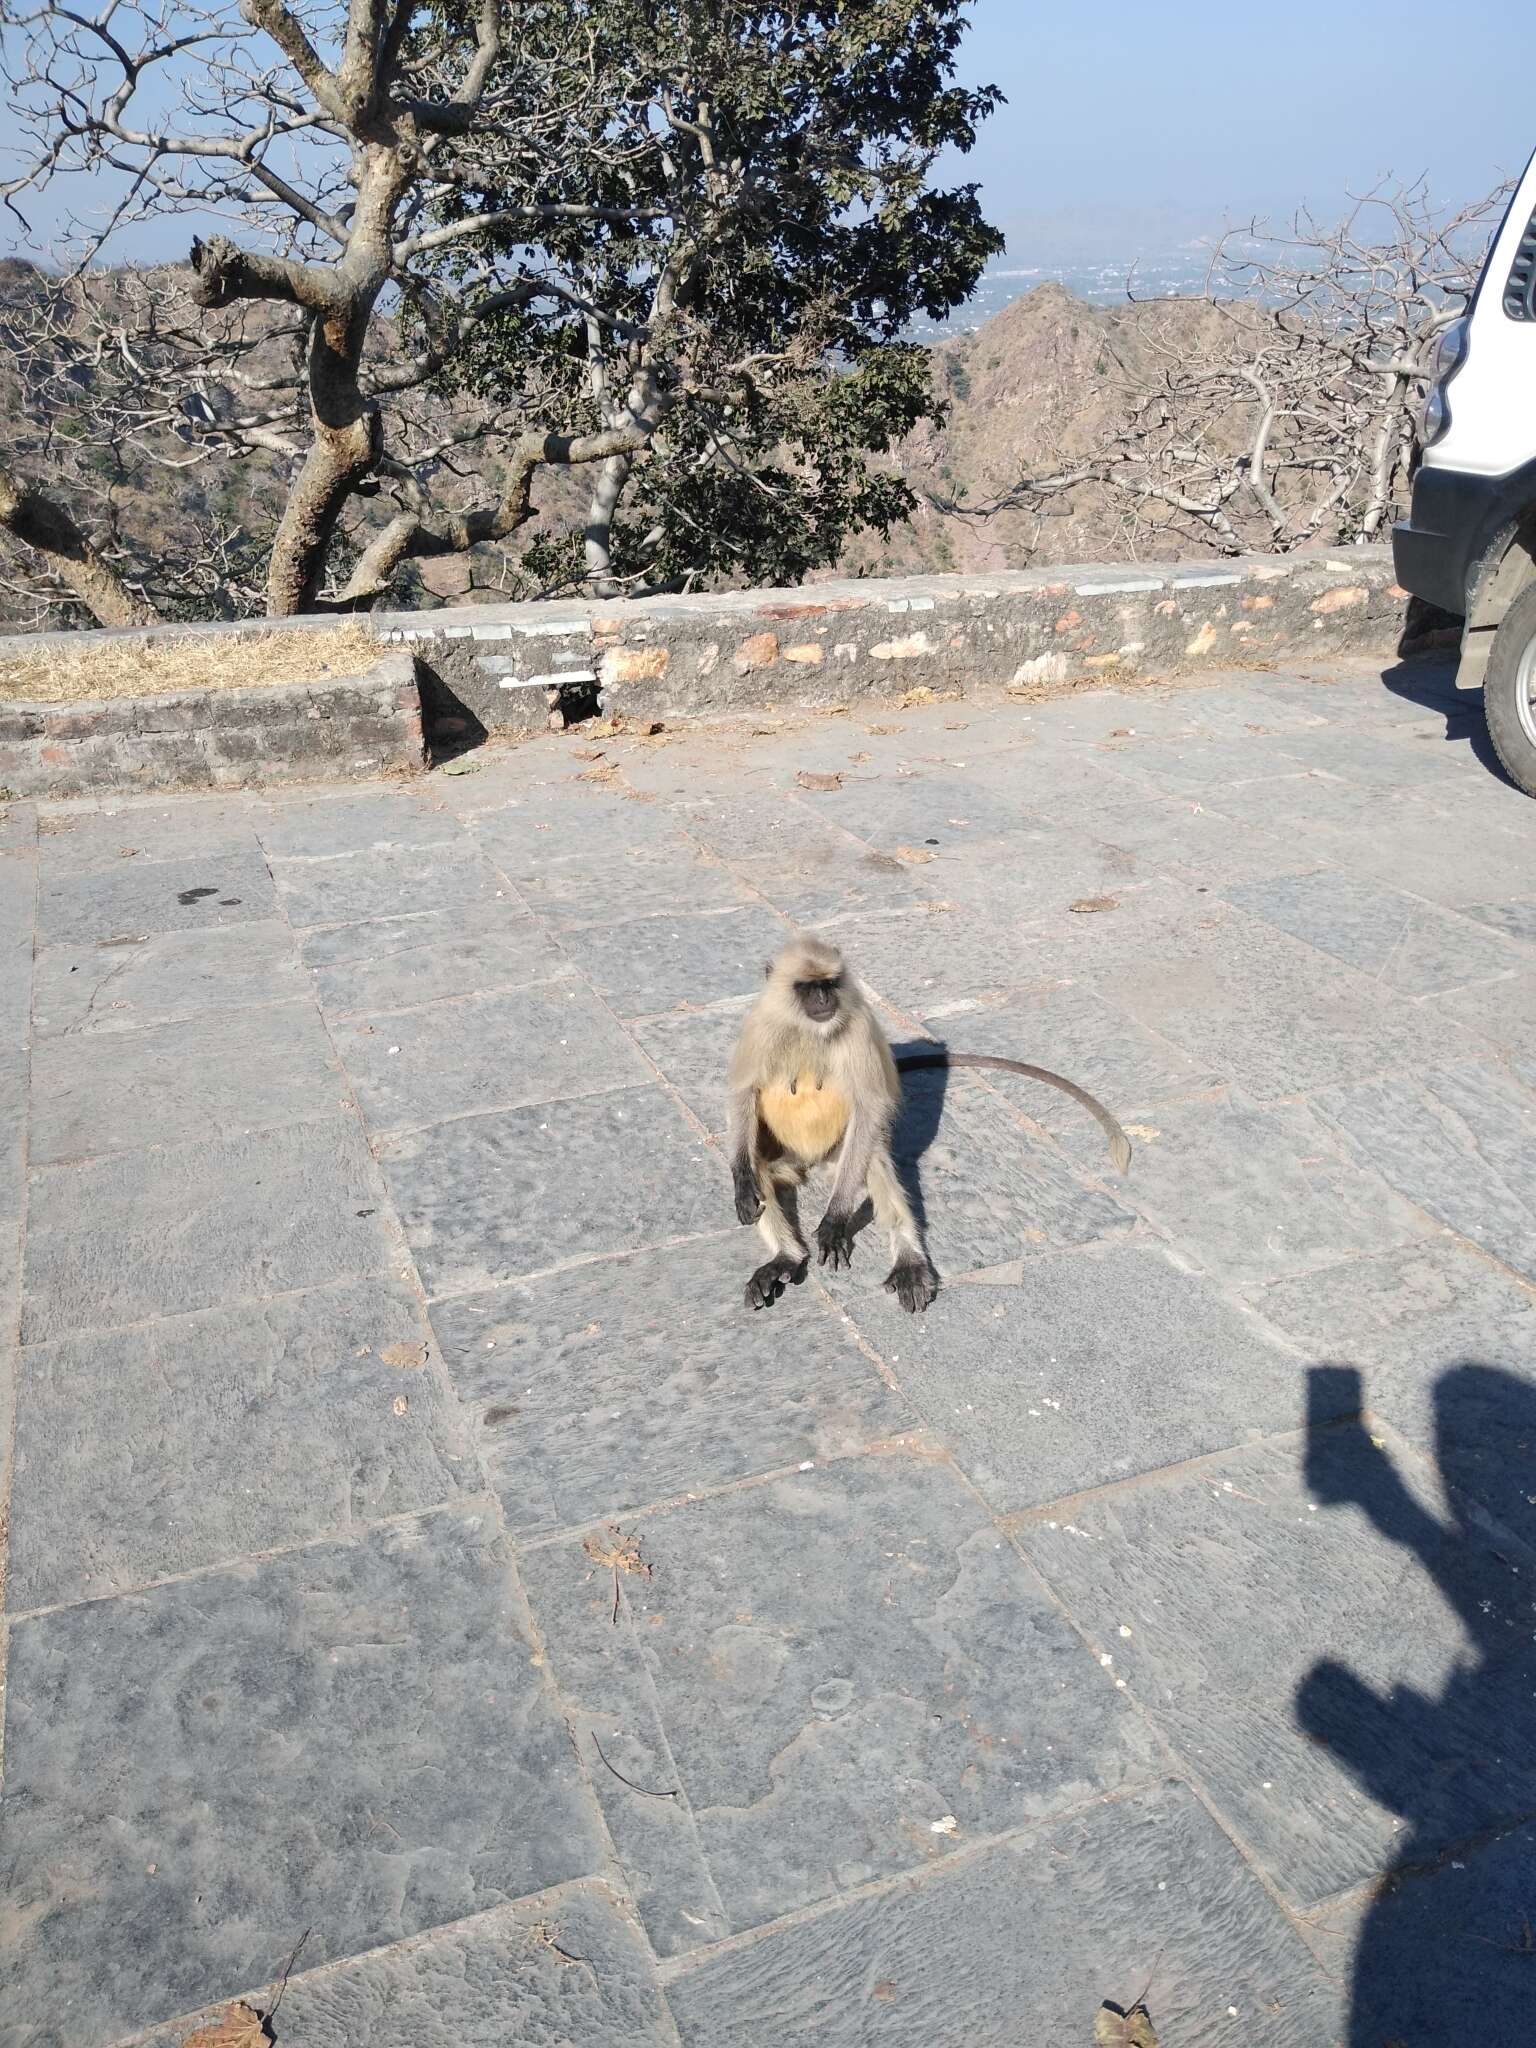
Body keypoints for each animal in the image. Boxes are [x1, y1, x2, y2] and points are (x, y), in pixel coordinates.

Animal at [729, 937, 1138, 1310]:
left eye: (829, 984)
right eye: (806, 987)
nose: (823, 1000)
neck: (808, 1030)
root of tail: (810, 1164)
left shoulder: (859, 1026)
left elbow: (870, 1107)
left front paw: (835, 1219)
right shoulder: (760, 1022)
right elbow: (743, 1093)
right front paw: (743, 1183)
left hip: (840, 1155)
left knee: (873, 1155)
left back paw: (908, 1262)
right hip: (785, 1156)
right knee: (761, 1165)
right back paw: (785, 1257)